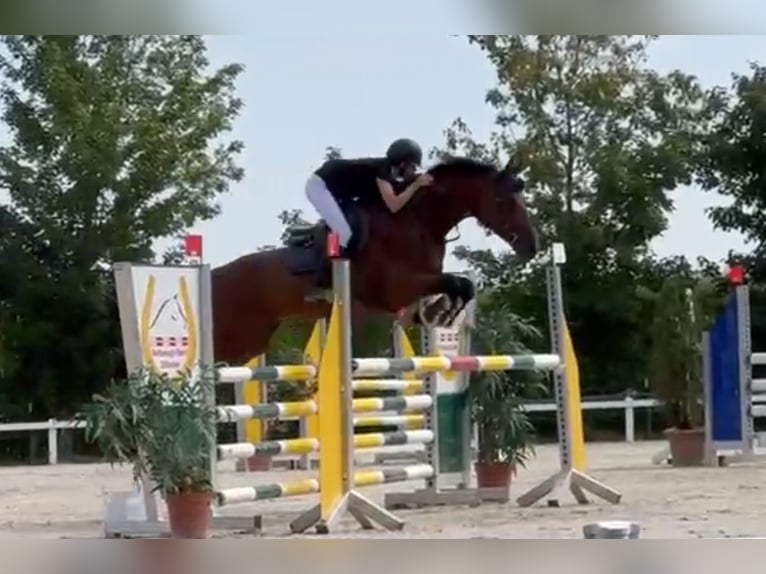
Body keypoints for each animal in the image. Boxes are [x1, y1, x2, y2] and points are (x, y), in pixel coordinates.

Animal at [212, 156, 540, 364]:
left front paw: (440, 314)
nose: (532, 246)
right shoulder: (396, 288)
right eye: (503, 200)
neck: (419, 222)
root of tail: (215, 275)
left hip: (250, 342)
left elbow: (461, 285)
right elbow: (454, 283)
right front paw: (443, 313)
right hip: (233, 337)